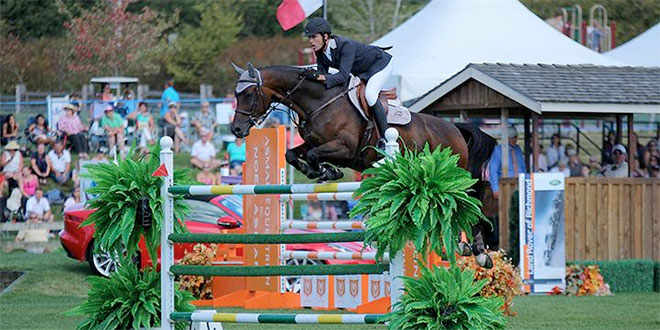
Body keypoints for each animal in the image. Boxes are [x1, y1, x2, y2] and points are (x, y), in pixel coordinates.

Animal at [231, 63, 496, 266]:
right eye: (235, 95)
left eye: (248, 94)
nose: (236, 130)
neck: (318, 102)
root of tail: (455, 128)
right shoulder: (313, 143)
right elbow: (292, 155)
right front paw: (319, 171)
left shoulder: (344, 148)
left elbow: (316, 155)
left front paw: (327, 171)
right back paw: (458, 247)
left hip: (452, 175)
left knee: (472, 200)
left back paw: (479, 253)